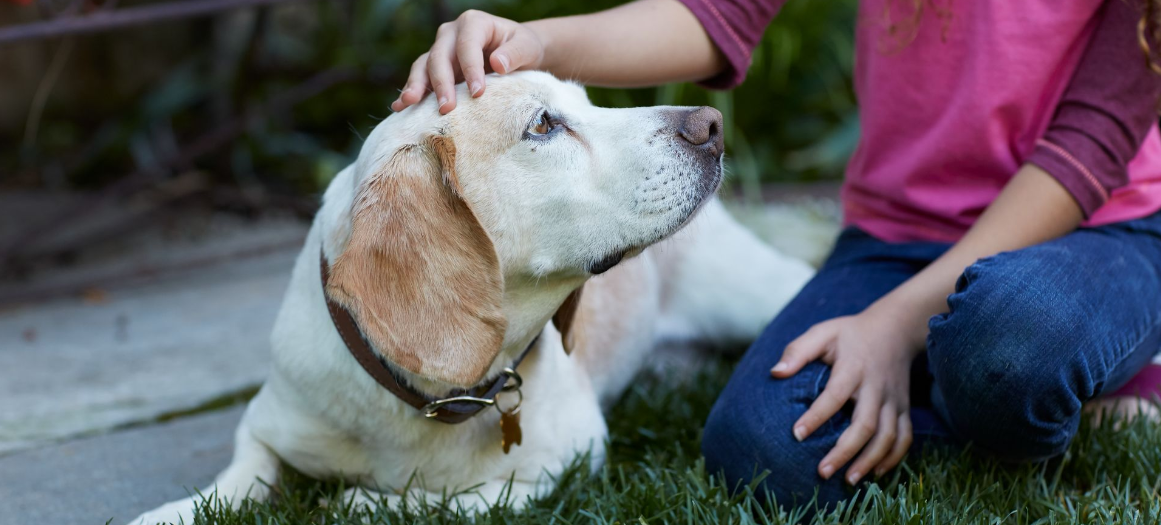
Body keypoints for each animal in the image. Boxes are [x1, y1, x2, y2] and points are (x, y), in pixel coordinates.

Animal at [127, 70, 812, 525]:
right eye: (544, 124)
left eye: (587, 101)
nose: (712, 124)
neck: (428, 399)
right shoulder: (264, 426)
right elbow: (232, 483)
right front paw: (169, 512)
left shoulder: (563, 462)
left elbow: (450, 502)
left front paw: (366, 501)